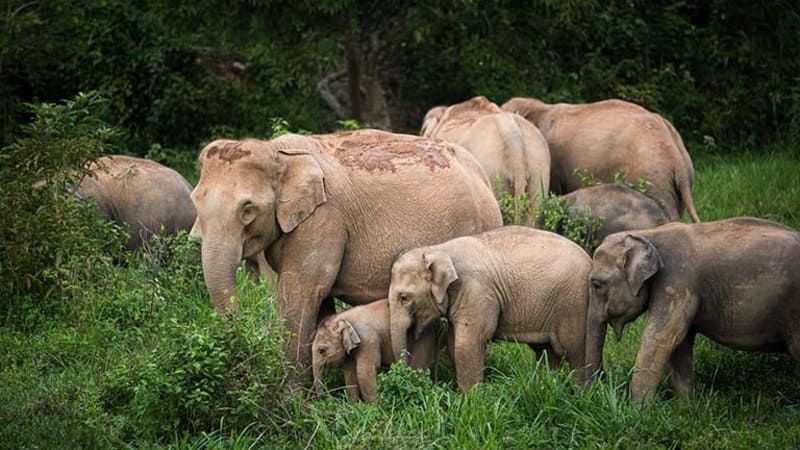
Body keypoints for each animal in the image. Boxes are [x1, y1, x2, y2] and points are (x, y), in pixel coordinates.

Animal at [191, 127, 500, 384]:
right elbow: (319, 302)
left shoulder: (324, 219)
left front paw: (293, 398)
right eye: (195, 201)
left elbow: (301, 295)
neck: (277, 152)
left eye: (248, 210)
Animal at [388, 225, 592, 390]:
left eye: (404, 298)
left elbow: (467, 344)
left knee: (575, 351)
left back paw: (580, 393)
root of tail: (590, 260)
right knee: (547, 352)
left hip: (574, 303)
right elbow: (455, 341)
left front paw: (470, 399)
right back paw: (546, 386)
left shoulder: (477, 292)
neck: (438, 249)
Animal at [588, 216, 800, 402]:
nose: (598, 388)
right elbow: (680, 342)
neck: (648, 234)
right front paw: (686, 407)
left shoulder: (678, 280)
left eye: (596, 284)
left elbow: (660, 338)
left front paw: (638, 411)